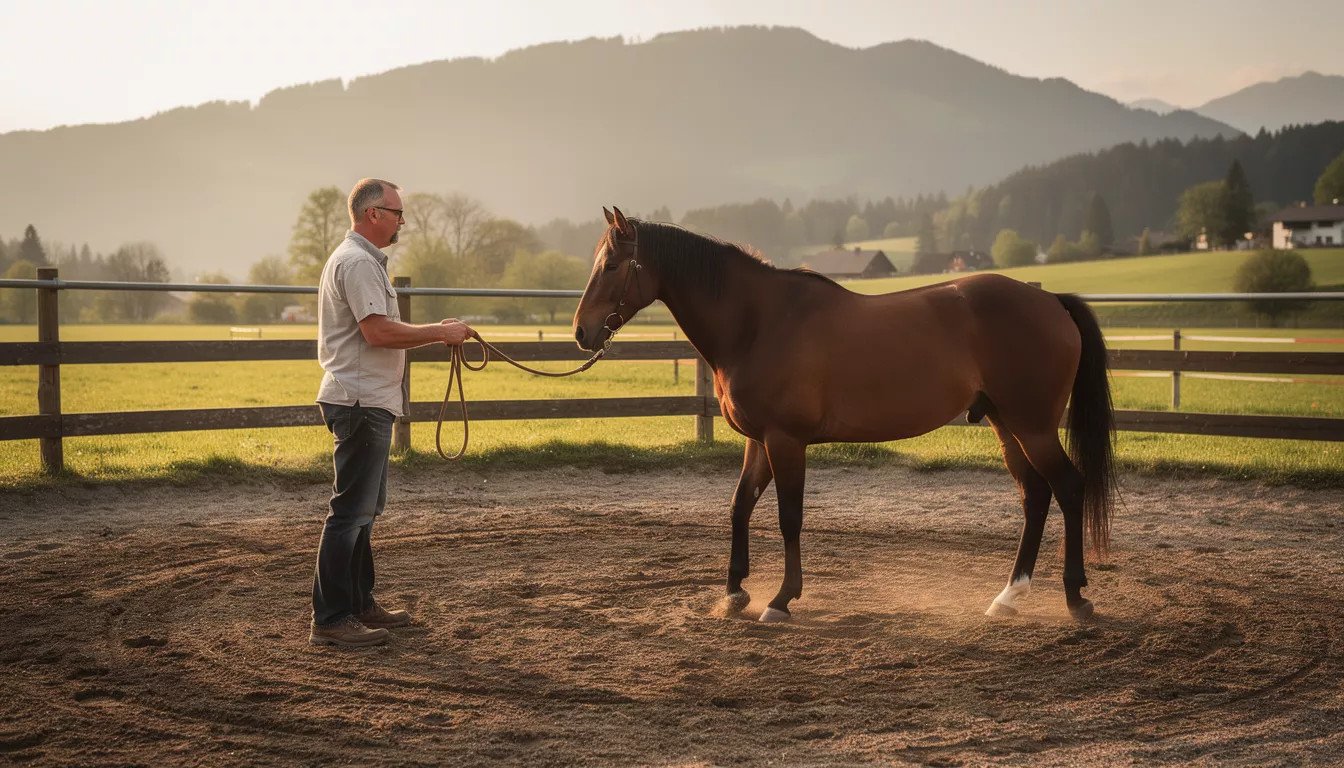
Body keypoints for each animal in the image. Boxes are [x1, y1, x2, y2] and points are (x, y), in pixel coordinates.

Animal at [573, 207, 1115, 623]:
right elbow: (739, 506)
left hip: (1033, 426)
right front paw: (733, 594)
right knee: (1036, 494)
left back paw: (1075, 598)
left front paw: (780, 600)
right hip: (1006, 424)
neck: (759, 322)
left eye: (613, 265)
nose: (581, 332)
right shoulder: (758, 440)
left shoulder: (785, 440)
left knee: (1068, 487)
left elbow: (789, 517)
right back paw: (1009, 596)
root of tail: (1050, 300)